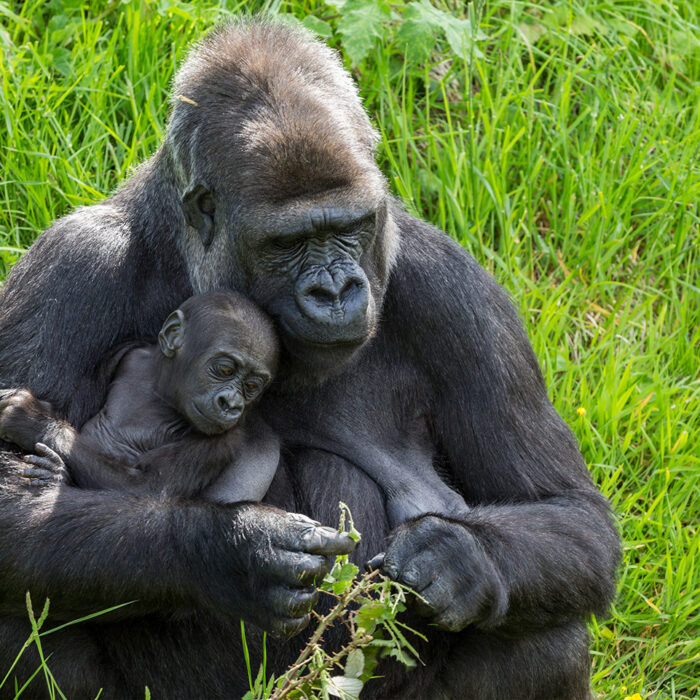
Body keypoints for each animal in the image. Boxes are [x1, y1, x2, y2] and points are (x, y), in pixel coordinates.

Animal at [0, 292, 278, 504]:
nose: (232, 404)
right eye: (225, 370)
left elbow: (144, 487)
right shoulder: (126, 353)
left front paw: (35, 421)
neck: (160, 392)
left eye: (251, 386)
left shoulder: (225, 438)